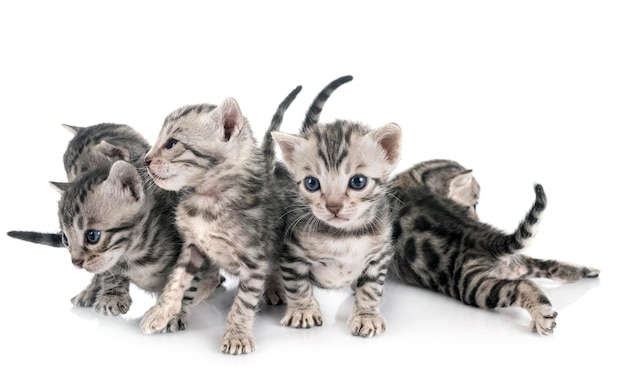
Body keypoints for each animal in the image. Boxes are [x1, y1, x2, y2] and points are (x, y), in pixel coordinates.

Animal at [141, 88, 300, 356]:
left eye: (172, 143)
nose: (146, 159)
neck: (207, 203)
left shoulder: (255, 261)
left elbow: (243, 303)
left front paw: (237, 335)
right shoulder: (193, 246)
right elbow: (176, 280)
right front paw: (162, 311)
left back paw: (274, 287)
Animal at [270, 74, 400, 334]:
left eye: (358, 181)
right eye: (311, 183)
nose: (333, 206)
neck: (344, 236)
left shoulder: (379, 255)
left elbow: (372, 287)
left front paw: (366, 315)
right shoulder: (291, 252)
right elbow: (297, 283)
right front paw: (302, 311)